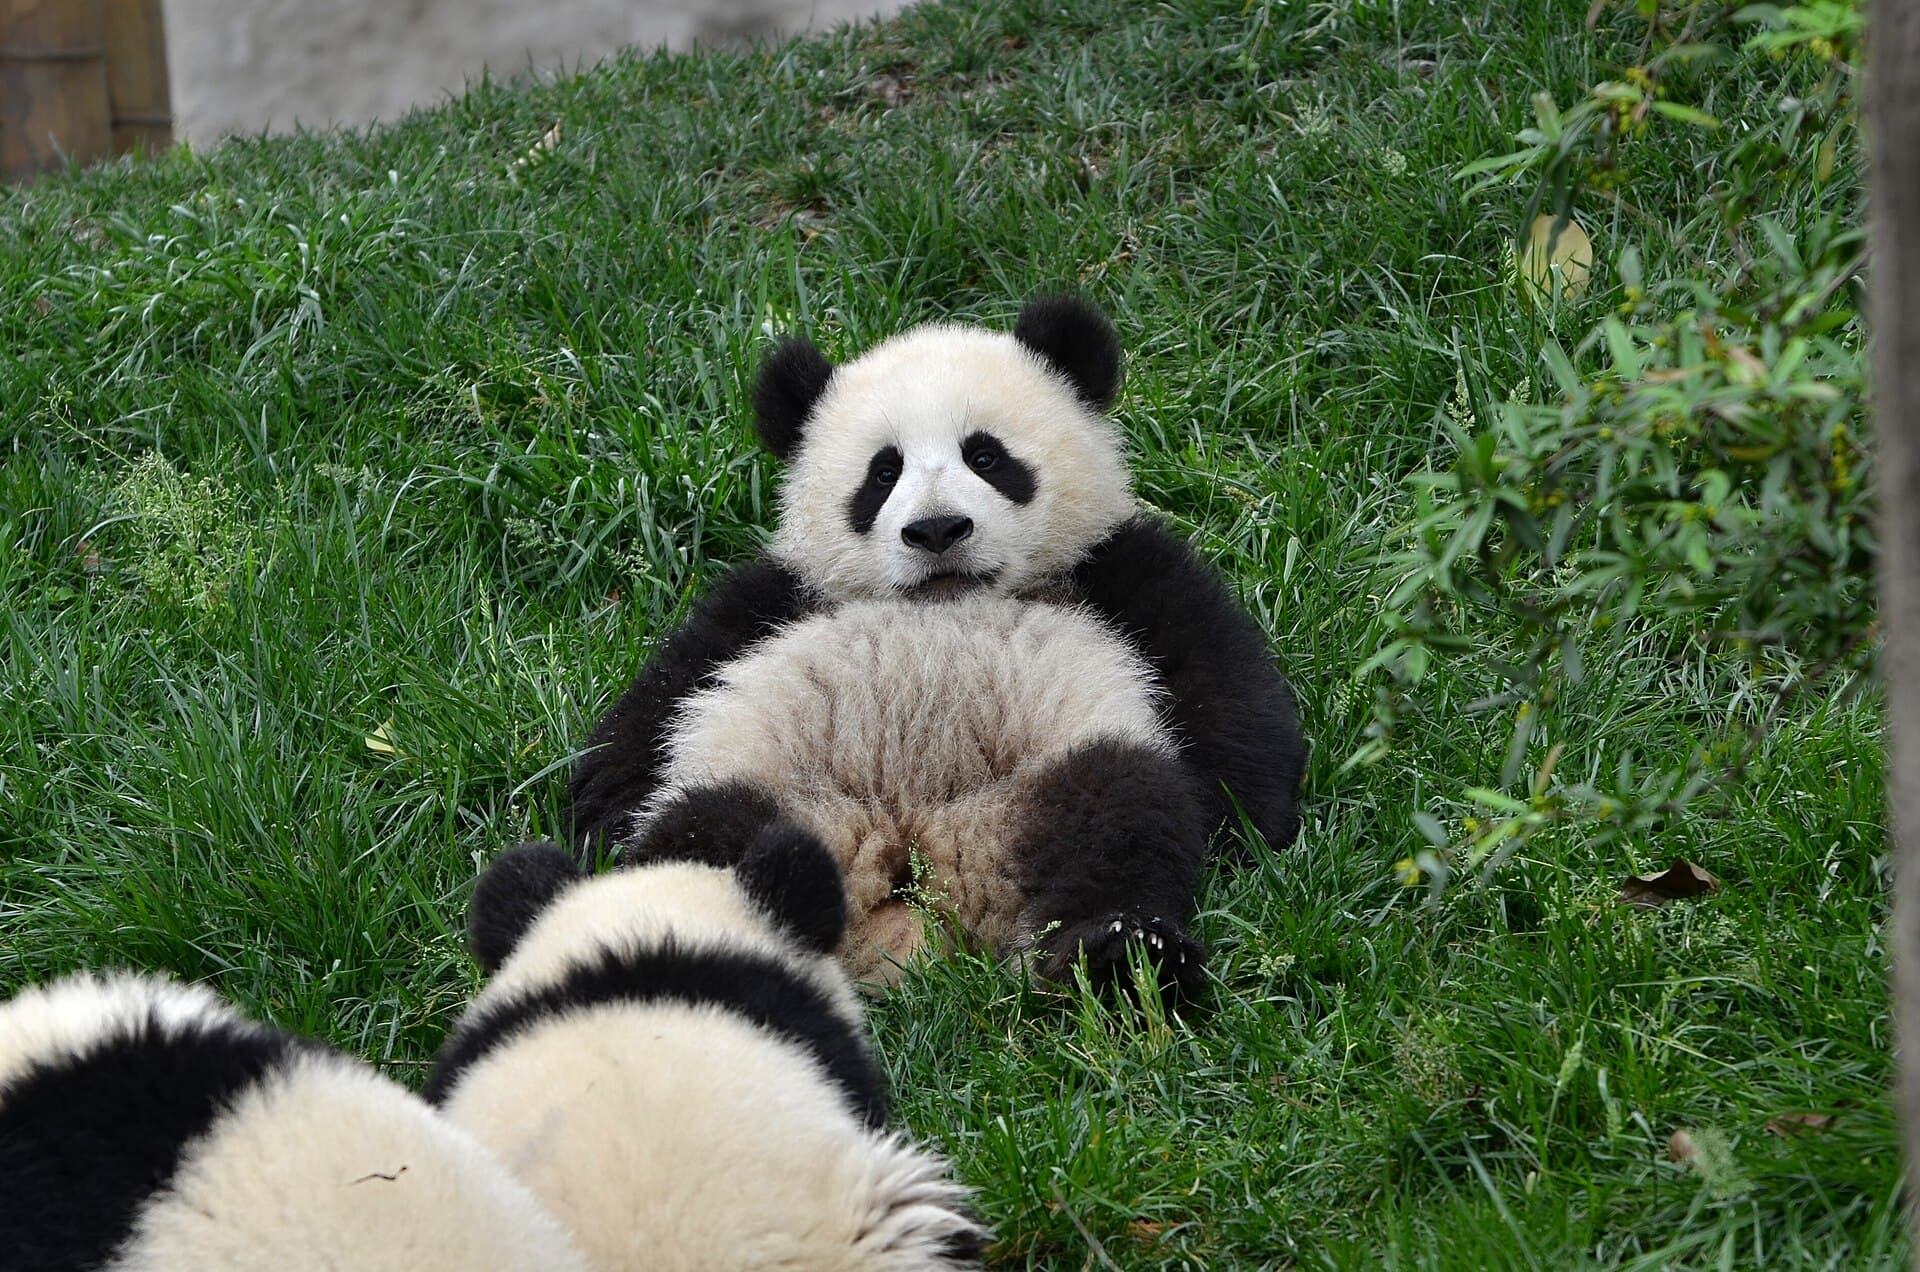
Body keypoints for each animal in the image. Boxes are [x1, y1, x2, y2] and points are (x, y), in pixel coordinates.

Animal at [569, 296, 1307, 993]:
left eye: (986, 456)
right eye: (882, 473)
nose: (936, 530)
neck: (945, 602)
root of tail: (916, 891)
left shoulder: (1113, 573)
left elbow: (1228, 705)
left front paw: (1245, 834)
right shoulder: (777, 601)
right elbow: (651, 719)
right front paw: (596, 822)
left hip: (1047, 780)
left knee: (1118, 814)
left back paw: (1120, 955)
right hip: (773, 789)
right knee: (701, 834)